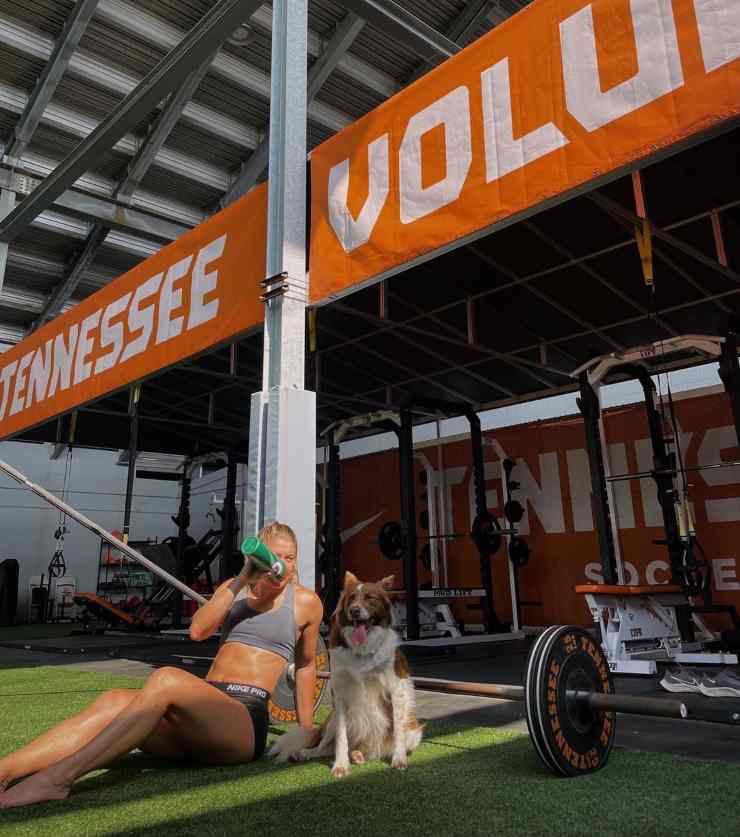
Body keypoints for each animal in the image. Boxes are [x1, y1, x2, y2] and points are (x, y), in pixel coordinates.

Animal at [270, 568, 422, 776]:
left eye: (370, 598)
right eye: (351, 599)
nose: (354, 610)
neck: (363, 650)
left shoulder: (396, 691)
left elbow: (398, 731)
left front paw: (399, 760)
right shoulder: (341, 694)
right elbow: (341, 739)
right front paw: (340, 766)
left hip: (414, 731)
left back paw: (358, 755)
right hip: (333, 719)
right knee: (324, 747)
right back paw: (307, 753)